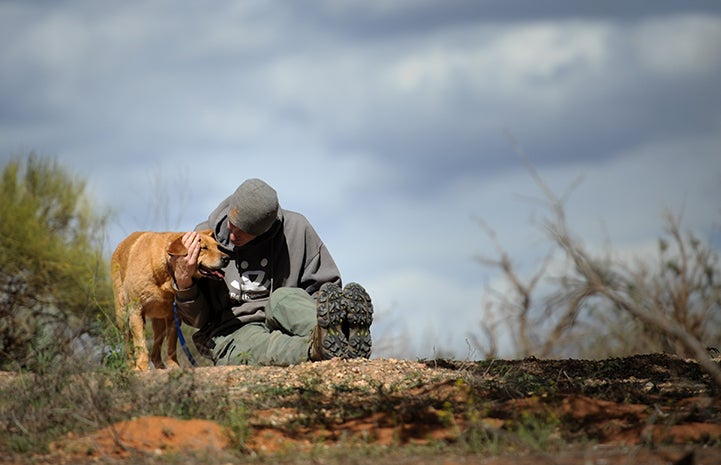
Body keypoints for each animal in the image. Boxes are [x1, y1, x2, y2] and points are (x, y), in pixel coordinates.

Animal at [112, 229, 228, 370]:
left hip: (159, 323)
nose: (227, 258)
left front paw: (174, 366)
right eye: (203, 248)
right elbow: (141, 344)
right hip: (123, 317)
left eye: (217, 247)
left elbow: (171, 346)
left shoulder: (174, 316)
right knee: (127, 345)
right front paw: (143, 367)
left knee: (155, 352)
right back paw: (132, 367)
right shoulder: (136, 311)